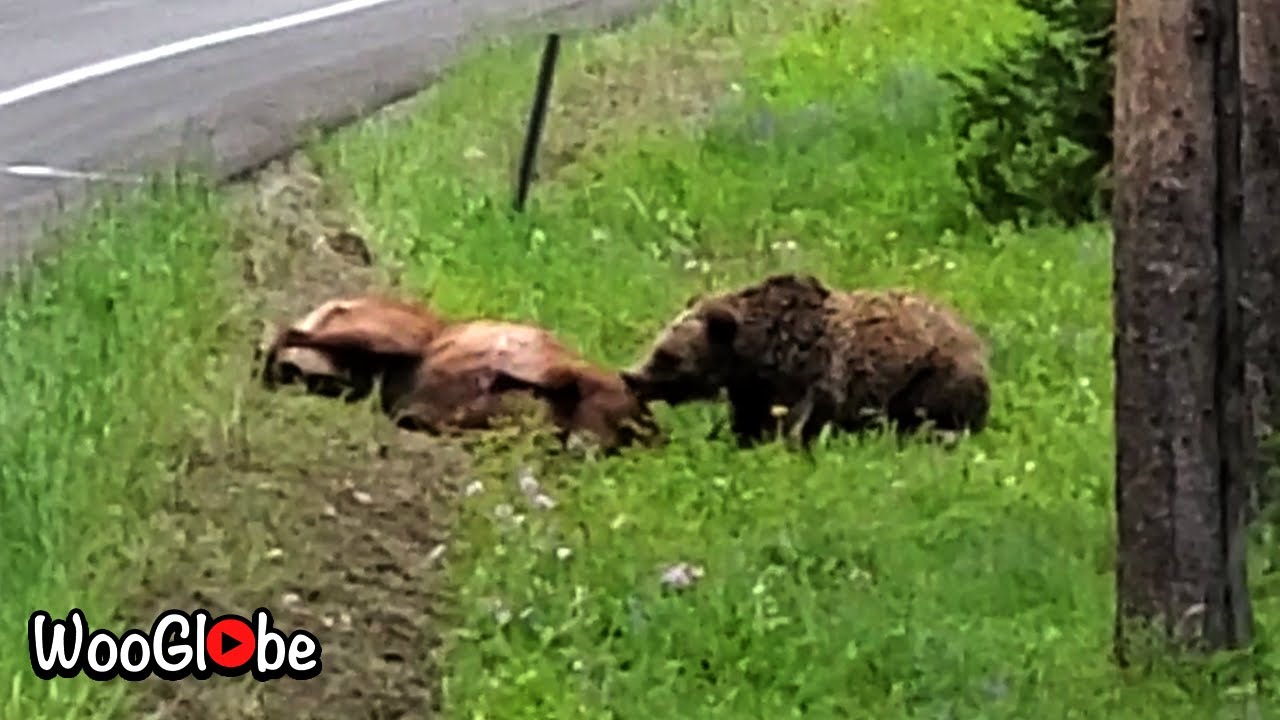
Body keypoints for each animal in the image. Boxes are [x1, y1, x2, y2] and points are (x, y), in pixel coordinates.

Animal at [619, 272, 991, 448]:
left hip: (930, 379)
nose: (630, 376)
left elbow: (800, 425)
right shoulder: (752, 393)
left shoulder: (811, 380)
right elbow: (749, 425)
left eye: (668, 355)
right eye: (657, 344)